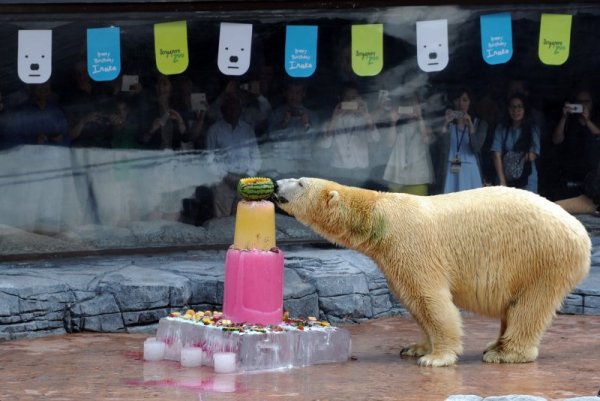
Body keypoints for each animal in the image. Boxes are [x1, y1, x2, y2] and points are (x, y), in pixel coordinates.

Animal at [274, 177, 592, 364]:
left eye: (300, 183)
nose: (276, 184)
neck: (379, 214)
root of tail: (583, 236)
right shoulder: (392, 258)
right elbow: (415, 303)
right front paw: (415, 348)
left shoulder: (411, 245)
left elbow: (431, 299)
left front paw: (436, 358)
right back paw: (494, 345)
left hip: (541, 259)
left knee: (529, 307)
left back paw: (504, 353)